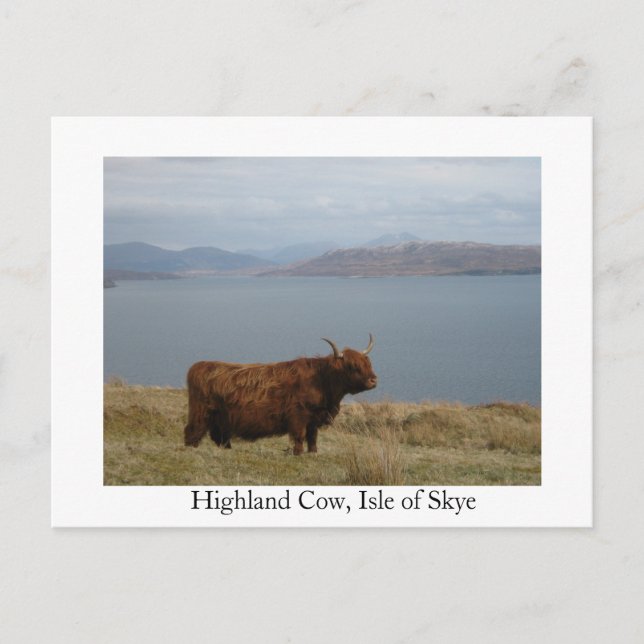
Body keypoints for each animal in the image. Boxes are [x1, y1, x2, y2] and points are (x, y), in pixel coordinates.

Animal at [183, 334, 377, 455]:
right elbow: (300, 435)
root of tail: (199, 365)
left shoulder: (314, 418)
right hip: (201, 412)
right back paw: (190, 448)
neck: (323, 381)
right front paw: (298, 453)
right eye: (352, 366)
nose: (373, 380)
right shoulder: (299, 415)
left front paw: (313, 452)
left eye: (368, 363)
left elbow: (313, 437)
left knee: (219, 434)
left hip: (220, 417)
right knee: (193, 429)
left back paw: (227, 449)